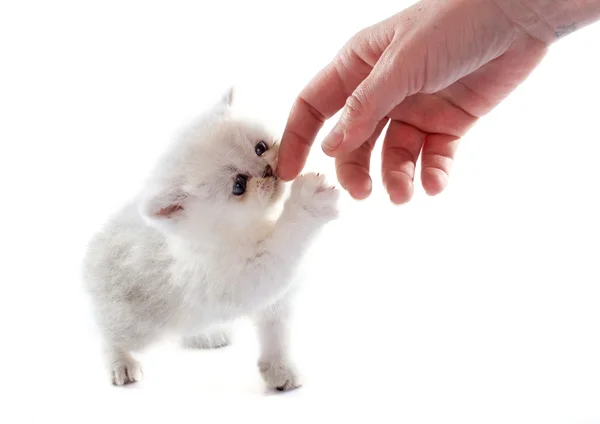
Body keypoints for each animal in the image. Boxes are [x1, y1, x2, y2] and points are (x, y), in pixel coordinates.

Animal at [82, 88, 340, 390]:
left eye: (260, 147)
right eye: (238, 186)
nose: (266, 171)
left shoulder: (276, 303)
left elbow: (276, 337)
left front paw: (280, 372)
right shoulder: (249, 277)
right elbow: (285, 238)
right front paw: (309, 201)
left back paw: (206, 336)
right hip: (137, 324)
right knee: (107, 334)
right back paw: (121, 365)